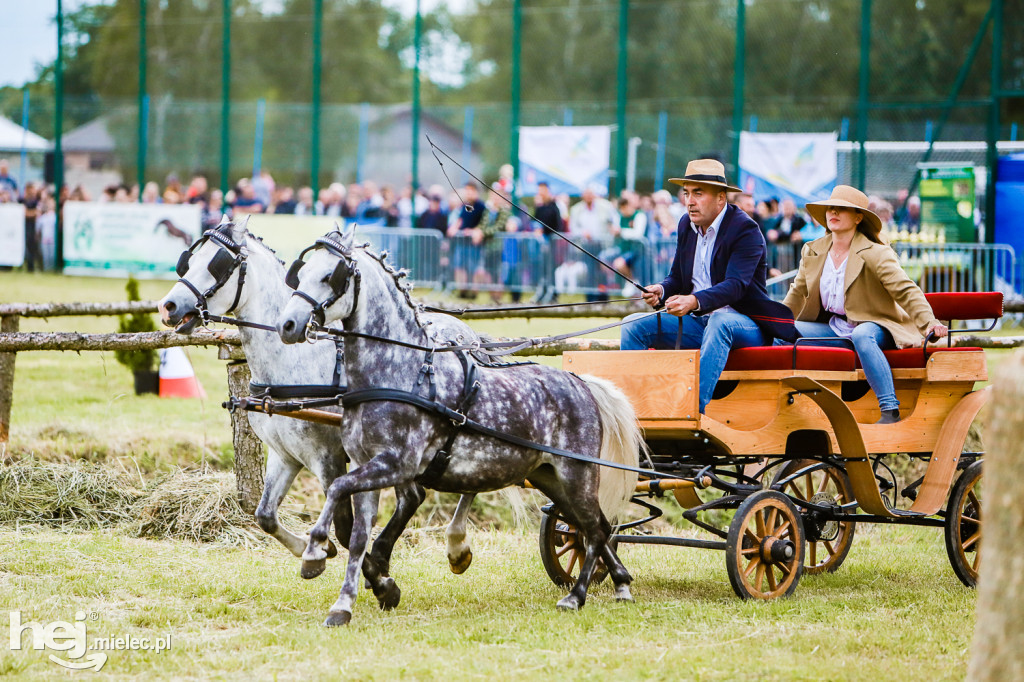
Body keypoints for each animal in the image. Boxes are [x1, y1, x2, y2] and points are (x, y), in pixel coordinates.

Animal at [158, 218, 491, 606]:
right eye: (189, 260)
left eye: (217, 265)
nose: (168, 306)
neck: (291, 365)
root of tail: (467, 333)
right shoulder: (285, 454)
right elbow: (265, 515)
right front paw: (318, 549)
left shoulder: (328, 457)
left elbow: (346, 528)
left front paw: (370, 578)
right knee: (416, 495)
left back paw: (455, 546)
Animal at [280, 225, 643, 622]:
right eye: (302, 272)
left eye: (330, 276)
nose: (288, 324)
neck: (399, 372)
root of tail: (581, 383)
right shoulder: (367, 466)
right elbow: (358, 537)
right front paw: (344, 604)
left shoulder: (395, 465)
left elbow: (336, 489)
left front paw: (314, 552)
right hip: (550, 477)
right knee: (595, 526)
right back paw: (620, 584)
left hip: (577, 474)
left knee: (593, 530)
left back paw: (576, 595)